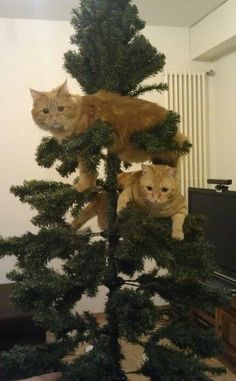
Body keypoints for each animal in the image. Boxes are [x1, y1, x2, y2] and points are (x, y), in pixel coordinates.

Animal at [30, 81, 188, 191]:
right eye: (45, 111)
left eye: (60, 109)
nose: (54, 119)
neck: (79, 113)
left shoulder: (87, 147)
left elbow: (85, 171)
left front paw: (83, 187)